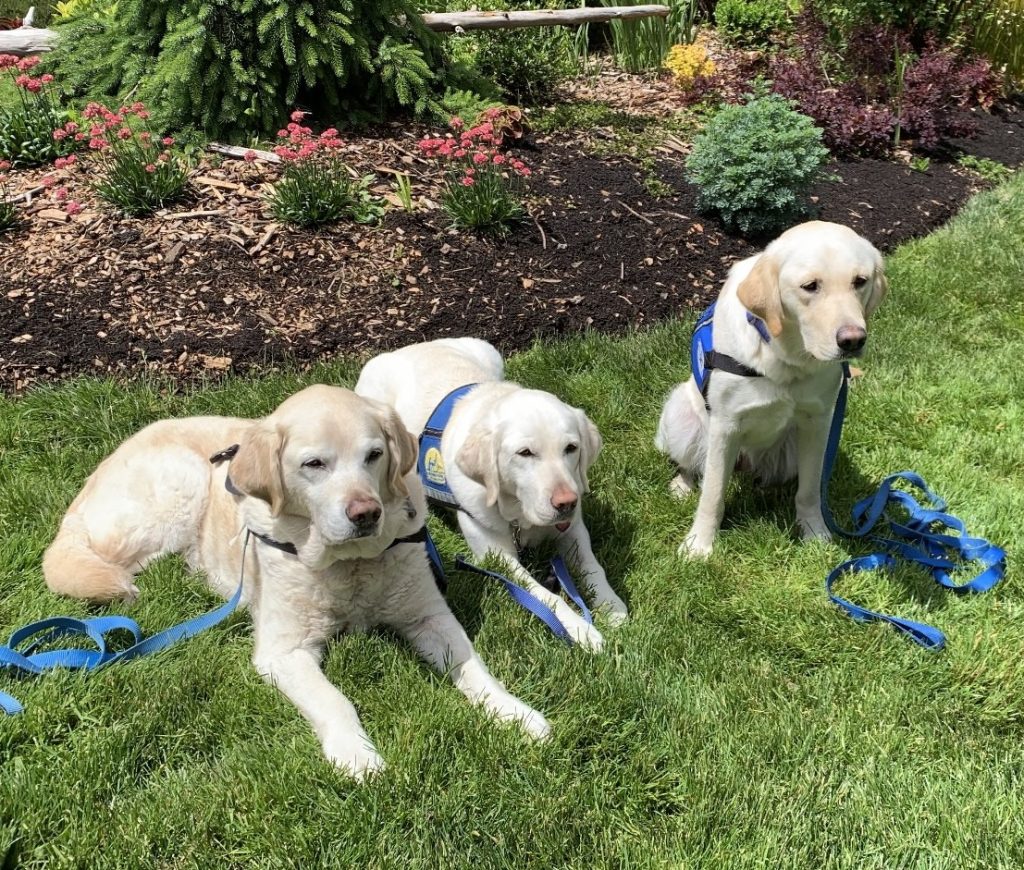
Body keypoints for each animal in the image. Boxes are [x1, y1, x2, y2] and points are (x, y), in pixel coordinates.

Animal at [46, 382, 552, 777]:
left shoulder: (429, 617)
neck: (349, 567)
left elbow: (475, 668)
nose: (365, 513)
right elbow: (334, 701)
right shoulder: (284, 652)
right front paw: (357, 756)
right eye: (314, 465)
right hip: (182, 483)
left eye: (374, 455)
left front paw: (515, 713)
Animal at [352, 335, 626, 646]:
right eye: (525, 453)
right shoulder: (497, 556)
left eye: (571, 448)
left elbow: (594, 567)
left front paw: (612, 606)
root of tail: (413, 345)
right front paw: (581, 629)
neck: (520, 516)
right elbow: (545, 596)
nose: (566, 502)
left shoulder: (573, 529)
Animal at [655, 220, 888, 552]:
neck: (785, 357)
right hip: (680, 414)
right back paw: (681, 485)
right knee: (691, 466)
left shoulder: (817, 423)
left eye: (860, 281)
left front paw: (814, 533)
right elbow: (712, 494)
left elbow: (809, 492)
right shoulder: (725, 426)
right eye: (810, 286)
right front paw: (699, 545)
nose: (853, 340)